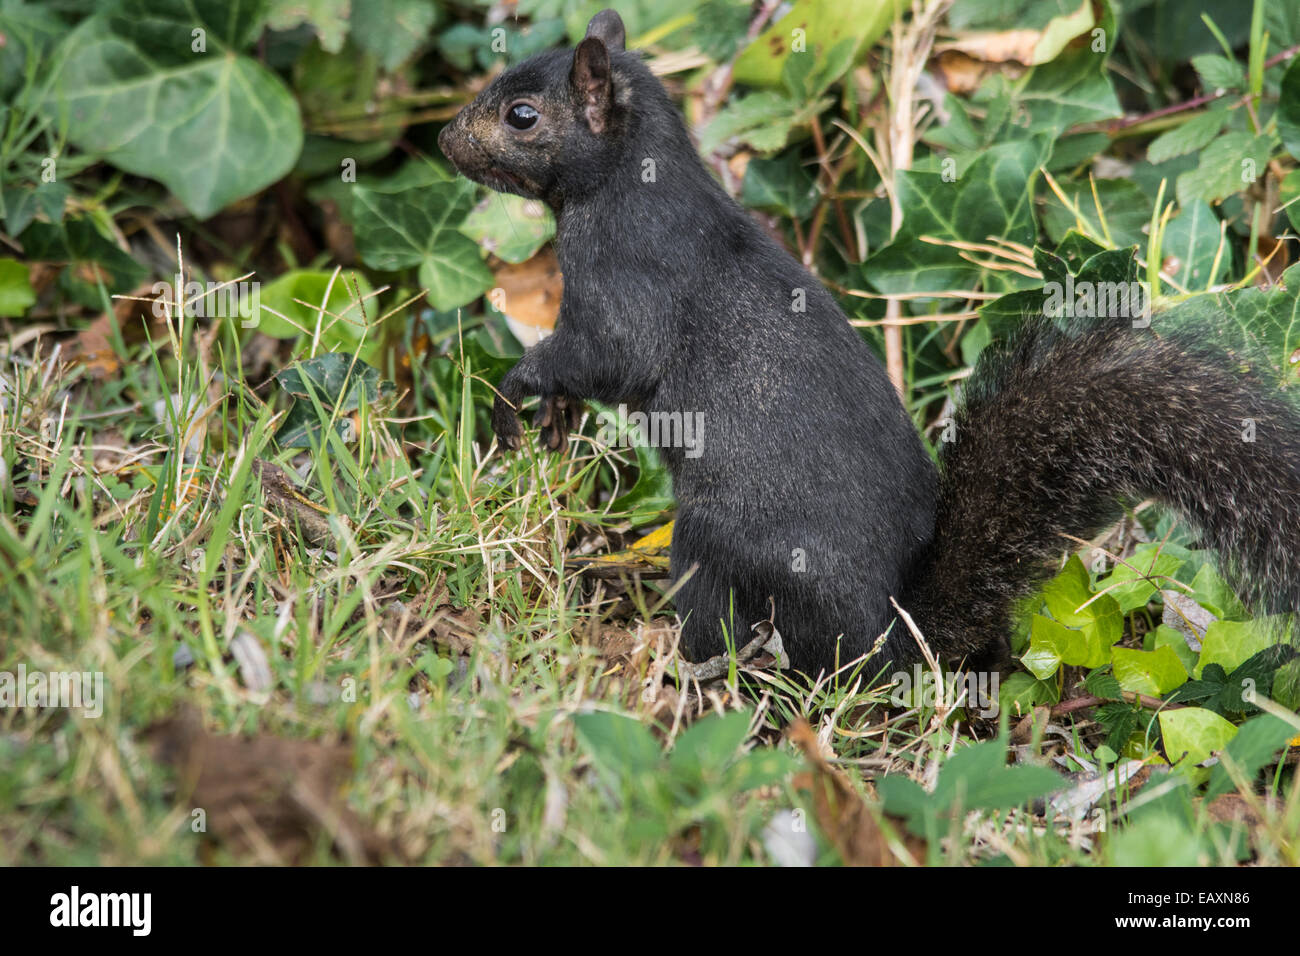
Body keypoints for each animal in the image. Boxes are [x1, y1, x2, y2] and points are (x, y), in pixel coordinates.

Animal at [436, 11, 1300, 676]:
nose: (443, 141)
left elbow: (608, 357)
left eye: (521, 115)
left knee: (724, 622)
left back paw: (683, 659)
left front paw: (519, 389)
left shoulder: (629, 283)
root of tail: (891, 634)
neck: (629, 181)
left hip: (720, 538)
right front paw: (553, 418)